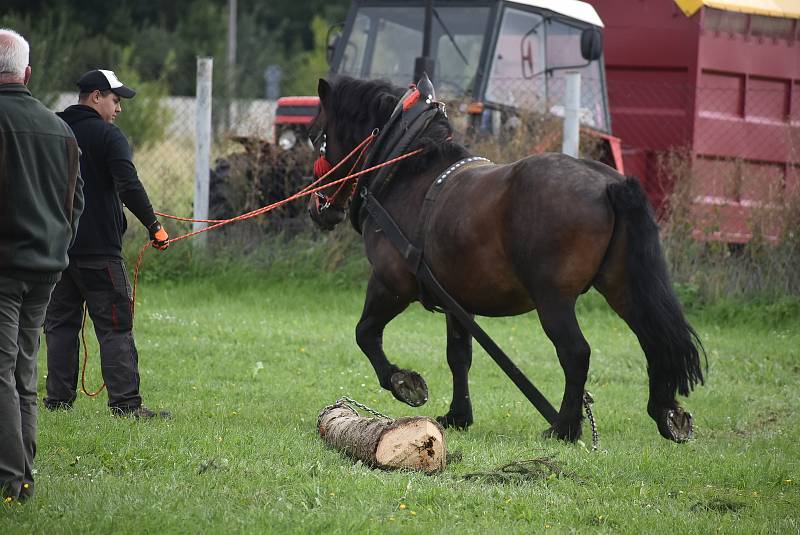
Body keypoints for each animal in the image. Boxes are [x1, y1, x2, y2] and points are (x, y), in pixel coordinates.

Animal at [310, 75, 704, 444]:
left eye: (316, 135)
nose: (318, 208)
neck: (407, 173)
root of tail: (609, 184)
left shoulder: (391, 283)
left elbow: (365, 333)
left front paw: (403, 382)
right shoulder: (456, 301)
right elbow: (459, 355)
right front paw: (458, 415)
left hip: (553, 298)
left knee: (576, 353)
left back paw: (564, 427)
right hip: (622, 286)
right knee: (653, 342)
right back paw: (666, 412)